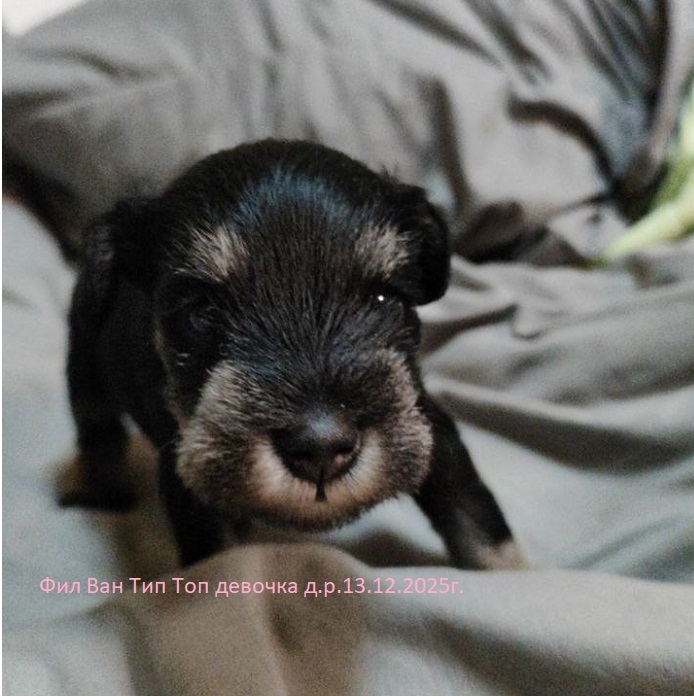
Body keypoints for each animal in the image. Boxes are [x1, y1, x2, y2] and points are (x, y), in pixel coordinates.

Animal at [60, 139, 515, 568]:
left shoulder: (432, 431)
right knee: (99, 434)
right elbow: (222, 564)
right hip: (85, 373)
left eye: (386, 298)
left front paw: (511, 572)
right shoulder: (188, 488)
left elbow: (477, 520)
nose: (322, 448)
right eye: (201, 312)